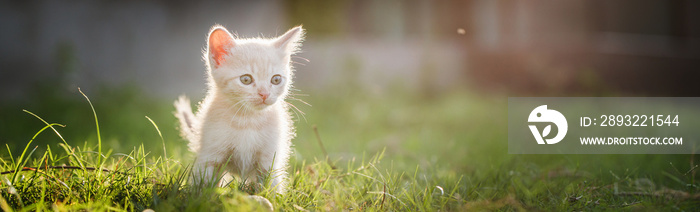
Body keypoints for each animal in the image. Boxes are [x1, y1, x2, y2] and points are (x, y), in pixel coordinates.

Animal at [173, 24, 304, 192]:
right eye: (246, 79)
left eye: (276, 79)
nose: (264, 94)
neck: (247, 120)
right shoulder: (210, 154)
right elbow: (204, 183)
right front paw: (198, 195)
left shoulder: (269, 158)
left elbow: (271, 186)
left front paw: (270, 196)